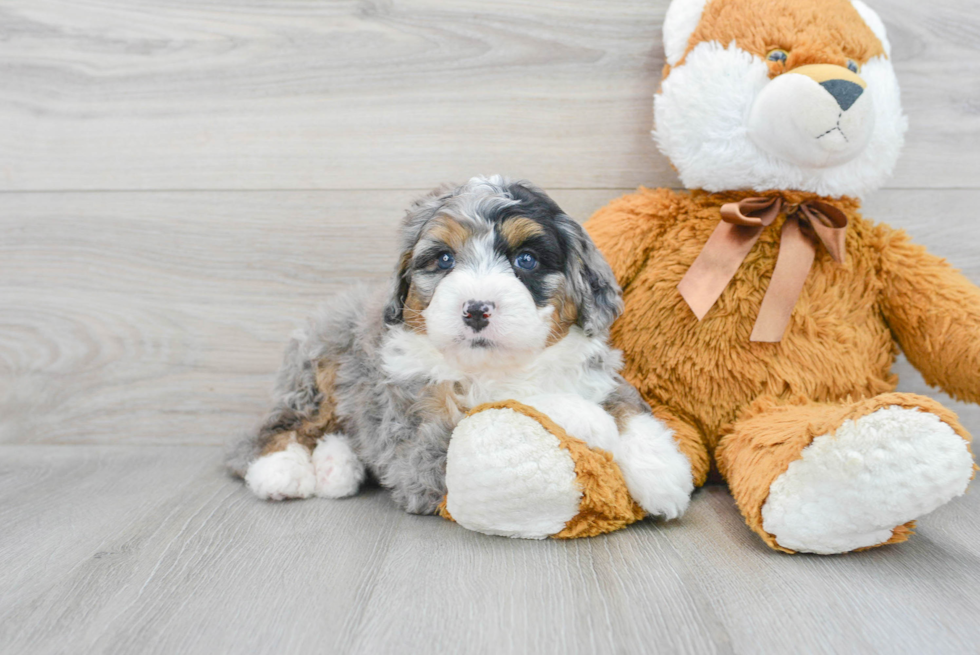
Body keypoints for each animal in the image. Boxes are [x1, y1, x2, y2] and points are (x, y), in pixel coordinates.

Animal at [226, 177, 692, 520]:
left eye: (526, 260)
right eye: (444, 260)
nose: (476, 309)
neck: (496, 364)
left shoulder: (595, 373)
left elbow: (628, 404)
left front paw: (662, 472)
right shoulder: (423, 440)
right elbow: (503, 402)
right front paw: (590, 421)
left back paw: (336, 466)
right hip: (316, 375)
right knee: (274, 428)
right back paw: (281, 471)